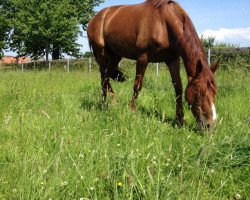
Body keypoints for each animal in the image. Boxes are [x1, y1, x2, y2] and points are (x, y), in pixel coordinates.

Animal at [87, 0, 219, 130]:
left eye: (214, 92)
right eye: (199, 92)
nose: (210, 125)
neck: (163, 23)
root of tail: (96, 18)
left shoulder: (173, 60)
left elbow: (178, 88)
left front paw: (180, 119)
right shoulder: (142, 58)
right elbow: (137, 85)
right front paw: (132, 109)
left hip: (115, 55)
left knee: (106, 76)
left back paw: (113, 102)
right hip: (101, 52)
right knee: (103, 78)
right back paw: (104, 105)